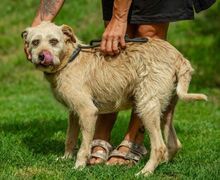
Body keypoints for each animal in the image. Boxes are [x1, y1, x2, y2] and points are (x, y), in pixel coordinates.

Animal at [21, 21, 207, 176]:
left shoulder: (88, 111)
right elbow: (70, 138)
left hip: (146, 107)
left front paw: (79, 166)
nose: (42, 56)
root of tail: (179, 57)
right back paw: (161, 165)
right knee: (174, 144)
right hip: (166, 110)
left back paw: (146, 172)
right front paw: (66, 158)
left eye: (53, 41)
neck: (70, 59)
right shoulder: (74, 112)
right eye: (35, 42)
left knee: (159, 147)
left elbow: (84, 147)